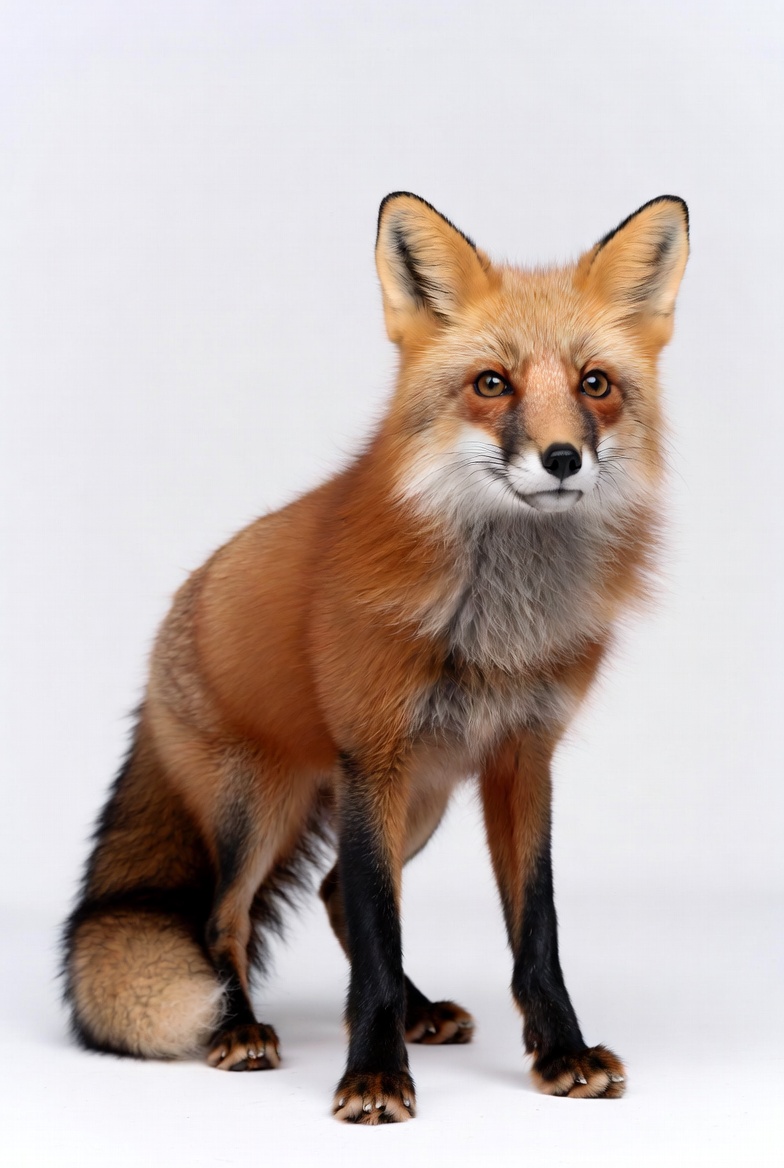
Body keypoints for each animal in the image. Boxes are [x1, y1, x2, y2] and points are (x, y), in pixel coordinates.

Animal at [62, 191, 689, 1123]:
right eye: (492, 383)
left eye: (595, 384)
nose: (562, 459)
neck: (499, 625)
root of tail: (180, 613)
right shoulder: (374, 756)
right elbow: (378, 943)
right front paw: (373, 1076)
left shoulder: (521, 758)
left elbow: (533, 932)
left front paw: (561, 1054)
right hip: (262, 810)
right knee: (225, 920)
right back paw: (237, 1027)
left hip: (421, 804)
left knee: (331, 896)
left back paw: (421, 1012)